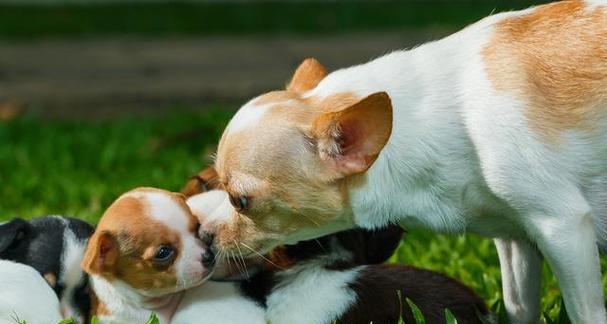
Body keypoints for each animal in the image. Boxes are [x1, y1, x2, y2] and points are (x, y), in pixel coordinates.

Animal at [209, 1, 607, 322]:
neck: (455, 121)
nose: (206, 235)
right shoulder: (516, 239)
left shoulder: (562, 225)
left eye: (240, 201)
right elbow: (520, 307)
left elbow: (587, 313)